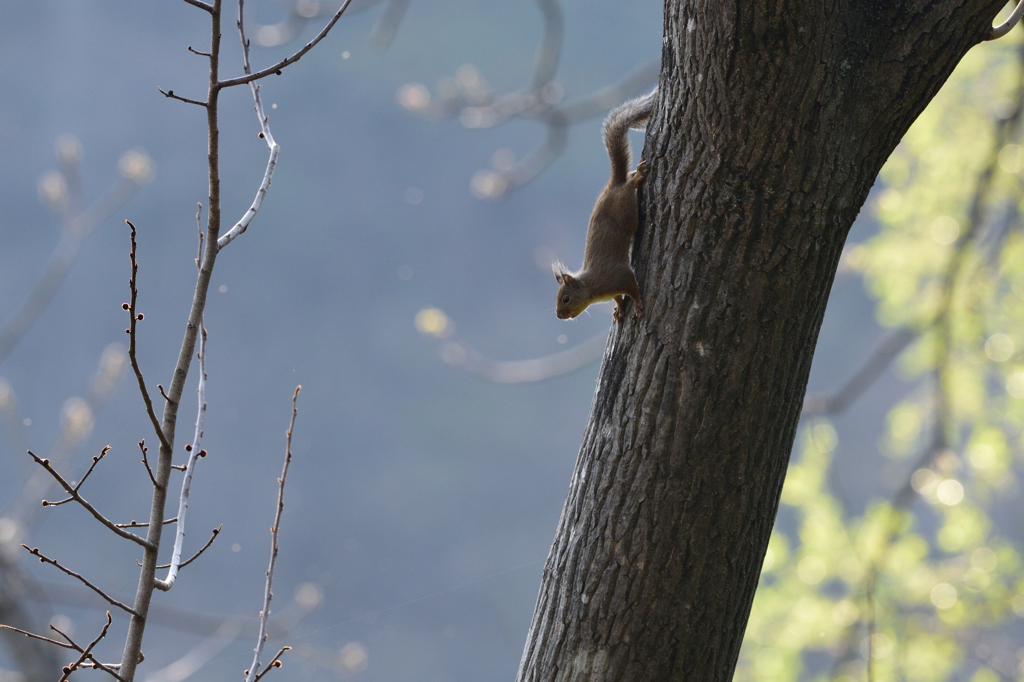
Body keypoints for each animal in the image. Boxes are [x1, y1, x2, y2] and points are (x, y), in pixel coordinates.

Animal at [552, 87, 655, 321]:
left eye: (565, 298)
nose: (559, 316)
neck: (592, 287)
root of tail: (613, 185)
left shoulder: (618, 276)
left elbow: (633, 288)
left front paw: (638, 305)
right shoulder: (613, 289)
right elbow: (618, 298)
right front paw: (618, 310)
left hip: (626, 208)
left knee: (629, 186)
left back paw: (636, 178)